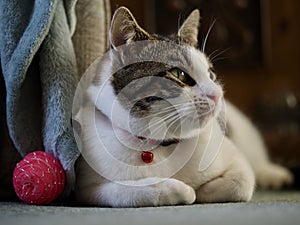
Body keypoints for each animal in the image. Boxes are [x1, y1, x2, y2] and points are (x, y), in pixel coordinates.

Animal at [74, 6, 294, 207]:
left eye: (211, 74)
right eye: (179, 74)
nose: (217, 94)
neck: (159, 144)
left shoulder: (236, 158)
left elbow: (241, 182)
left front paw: (203, 190)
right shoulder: (88, 189)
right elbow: (131, 190)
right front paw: (183, 190)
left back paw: (276, 175)